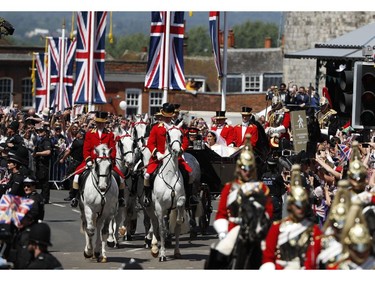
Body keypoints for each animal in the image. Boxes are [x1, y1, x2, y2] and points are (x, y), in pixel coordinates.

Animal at [147, 121, 188, 262]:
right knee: (155, 223)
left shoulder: (180, 200)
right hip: (151, 208)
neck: (169, 174)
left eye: (181, 135)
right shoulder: (159, 207)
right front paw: (162, 254)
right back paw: (154, 248)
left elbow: (177, 222)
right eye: (168, 135)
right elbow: (162, 230)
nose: (177, 151)